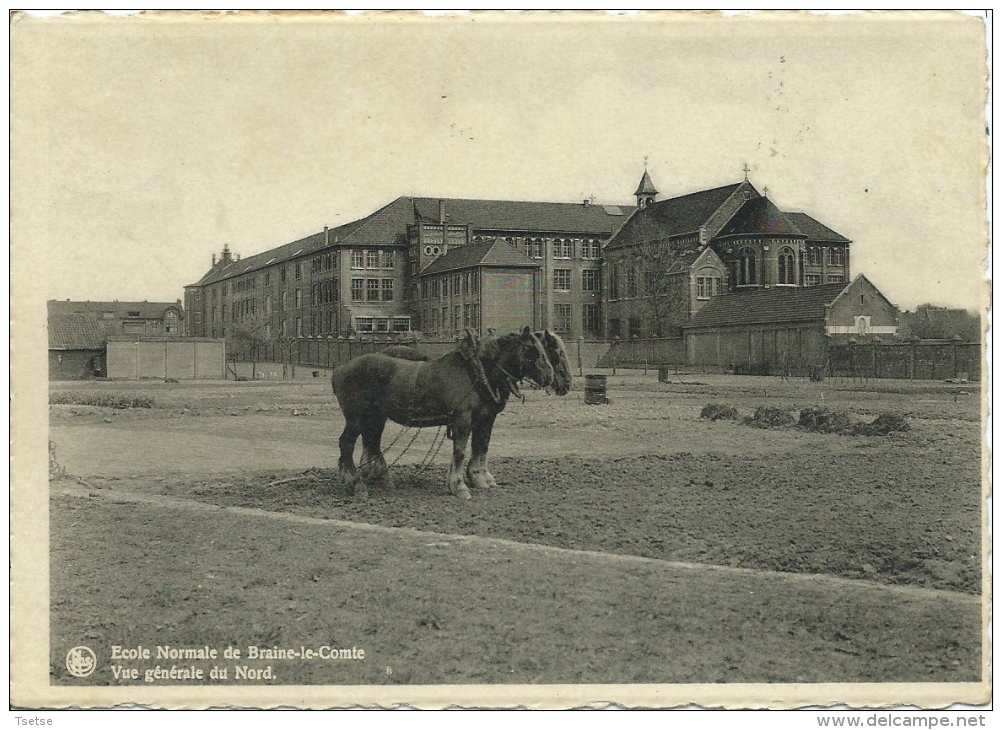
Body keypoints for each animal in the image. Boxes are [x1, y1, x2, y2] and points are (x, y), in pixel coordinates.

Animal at [334, 328, 557, 498]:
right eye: (532, 350)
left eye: (543, 348)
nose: (549, 376)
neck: (474, 372)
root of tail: (339, 370)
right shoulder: (462, 418)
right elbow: (460, 451)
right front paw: (459, 486)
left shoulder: (481, 419)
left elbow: (479, 447)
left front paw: (476, 480)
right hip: (357, 418)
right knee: (347, 444)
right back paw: (356, 485)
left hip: (375, 418)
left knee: (370, 443)